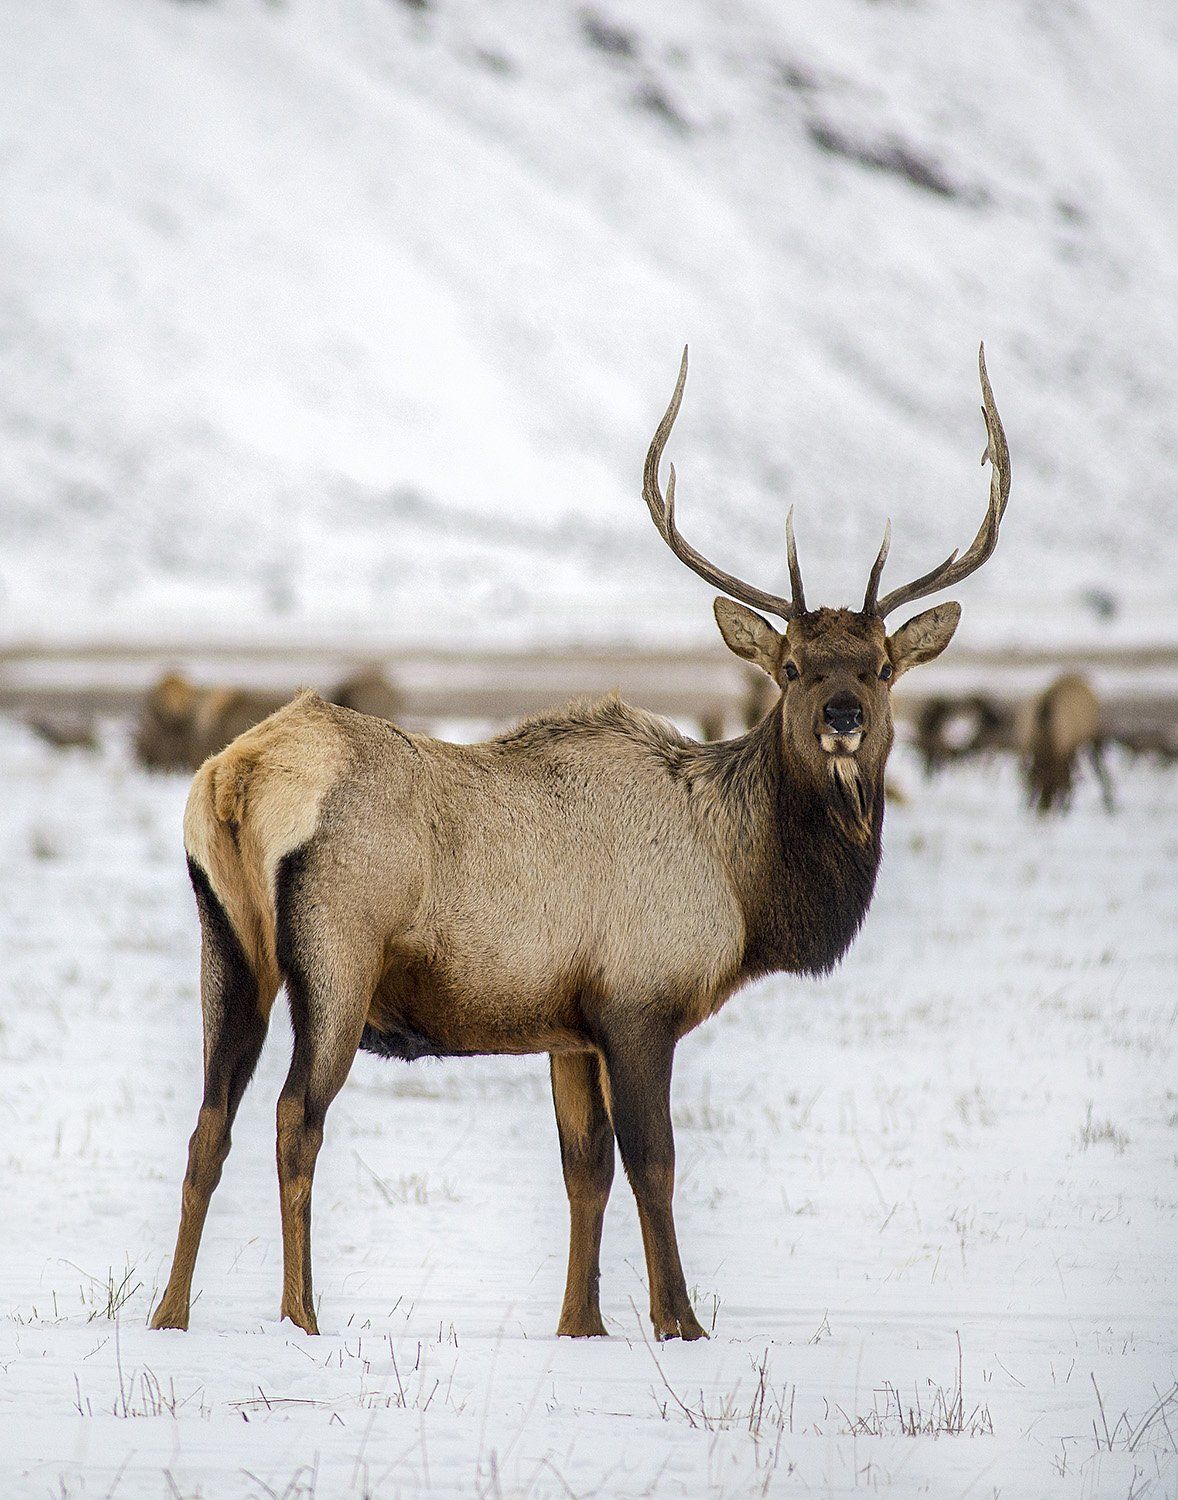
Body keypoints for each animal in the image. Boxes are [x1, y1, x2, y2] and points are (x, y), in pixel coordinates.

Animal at [150, 345, 1011, 1342]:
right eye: (792, 666)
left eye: (879, 667)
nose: (841, 717)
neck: (745, 884)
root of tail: (237, 778)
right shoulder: (639, 1001)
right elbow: (654, 1161)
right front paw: (680, 1321)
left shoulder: (570, 1024)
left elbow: (584, 1169)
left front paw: (581, 1324)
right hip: (337, 952)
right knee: (296, 1116)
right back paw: (300, 1315)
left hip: (226, 942)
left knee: (209, 1121)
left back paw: (169, 1312)